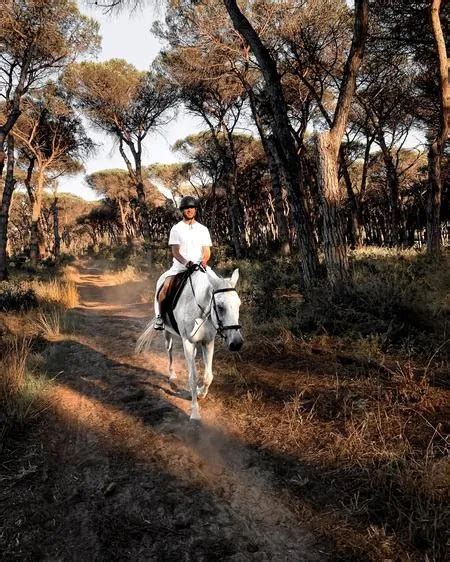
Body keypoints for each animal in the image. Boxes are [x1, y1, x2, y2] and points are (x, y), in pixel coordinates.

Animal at [136, 266, 243, 420]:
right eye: (220, 307)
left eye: (238, 304)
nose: (237, 343)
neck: (199, 309)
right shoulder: (187, 343)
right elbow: (193, 378)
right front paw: (195, 412)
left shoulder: (207, 342)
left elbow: (208, 376)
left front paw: (201, 393)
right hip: (167, 333)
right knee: (169, 350)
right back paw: (172, 373)